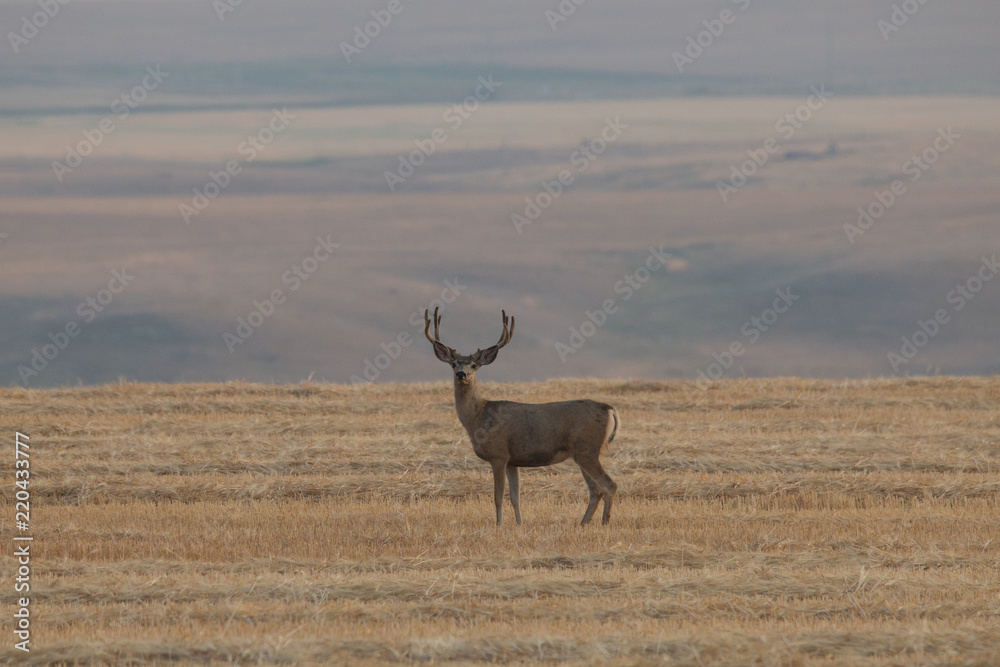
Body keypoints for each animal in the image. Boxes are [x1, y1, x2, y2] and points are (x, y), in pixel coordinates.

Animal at [424, 307, 619, 526]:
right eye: (454, 364)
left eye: (474, 365)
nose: (461, 374)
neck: (477, 418)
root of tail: (610, 409)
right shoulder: (513, 461)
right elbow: (515, 497)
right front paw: (519, 524)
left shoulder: (499, 454)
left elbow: (498, 496)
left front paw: (499, 525)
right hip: (581, 452)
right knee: (595, 490)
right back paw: (582, 524)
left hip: (587, 449)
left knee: (609, 485)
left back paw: (604, 523)